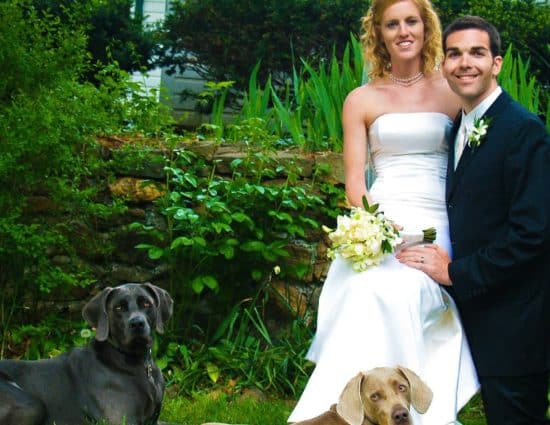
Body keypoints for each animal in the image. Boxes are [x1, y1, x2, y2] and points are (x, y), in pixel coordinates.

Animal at [0, 282, 174, 424]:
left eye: (146, 303)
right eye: (118, 308)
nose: (137, 323)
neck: (137, 363)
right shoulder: (122, 419)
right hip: (31, 405)